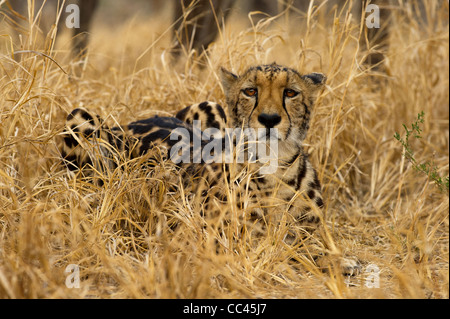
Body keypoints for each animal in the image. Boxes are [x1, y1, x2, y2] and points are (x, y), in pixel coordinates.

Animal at [56, 63, 360, 276]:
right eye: (251, 91)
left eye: (290, 93)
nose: (269, 119)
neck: (276, 165)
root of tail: (130, 122)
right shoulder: (228, 241)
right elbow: (284, 247)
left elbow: (308, 241)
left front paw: (341, 258)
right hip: (79, 118)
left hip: (209, 105)